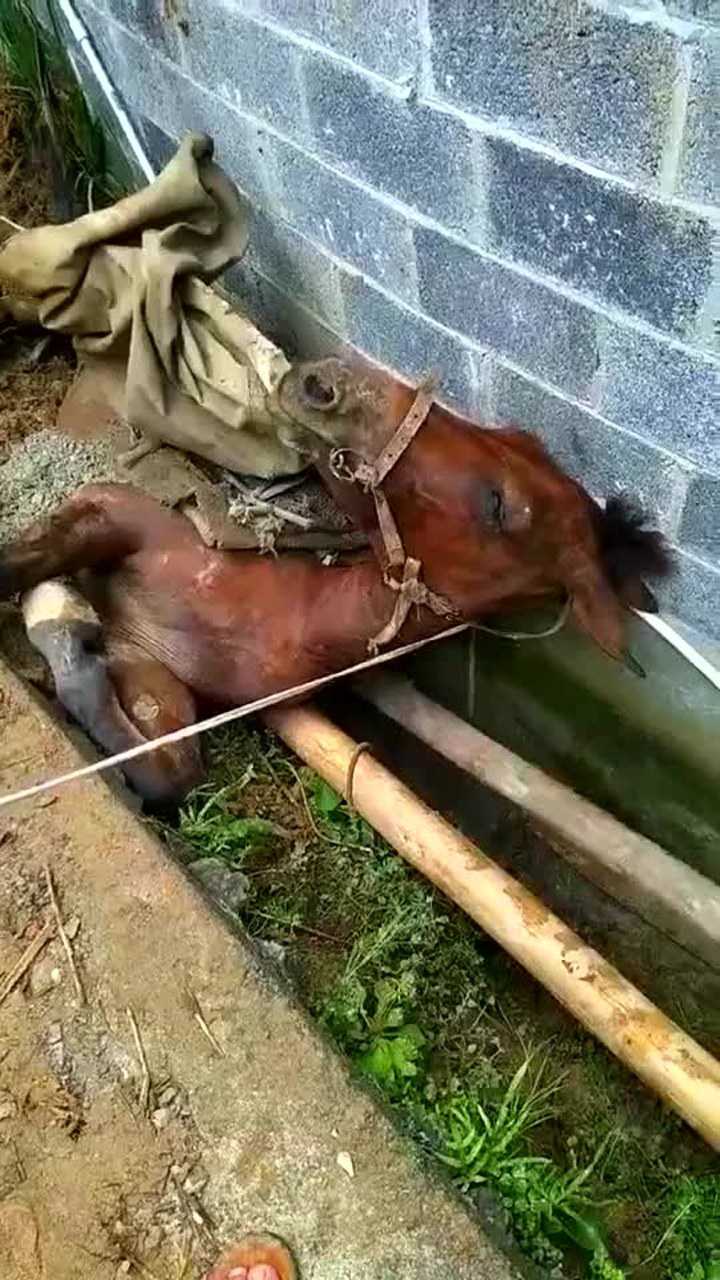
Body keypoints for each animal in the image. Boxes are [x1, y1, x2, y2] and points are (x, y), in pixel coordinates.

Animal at [0, 355, 670, 805]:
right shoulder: (121, 512)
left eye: (499, 505)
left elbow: (165, 770)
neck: (280, 610)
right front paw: (51, 606)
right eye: (514, 433)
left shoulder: (150, 670)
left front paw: (59, 619)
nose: (323, 380)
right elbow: (24, 558)